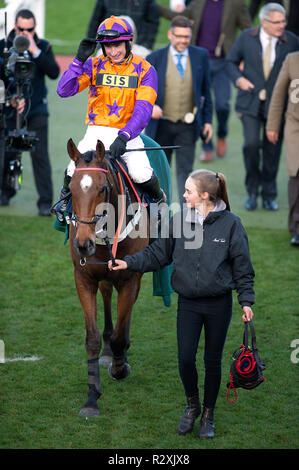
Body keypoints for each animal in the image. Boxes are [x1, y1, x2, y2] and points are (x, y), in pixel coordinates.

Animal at [66, 138, 150, 416]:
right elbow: (91, 339)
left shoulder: (130, 277)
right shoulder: (83, 279)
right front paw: (92, 397)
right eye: (70, 188)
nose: (83, 244)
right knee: (106, 295)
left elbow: (120, 335)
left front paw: (120, 367)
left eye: (102, 189)